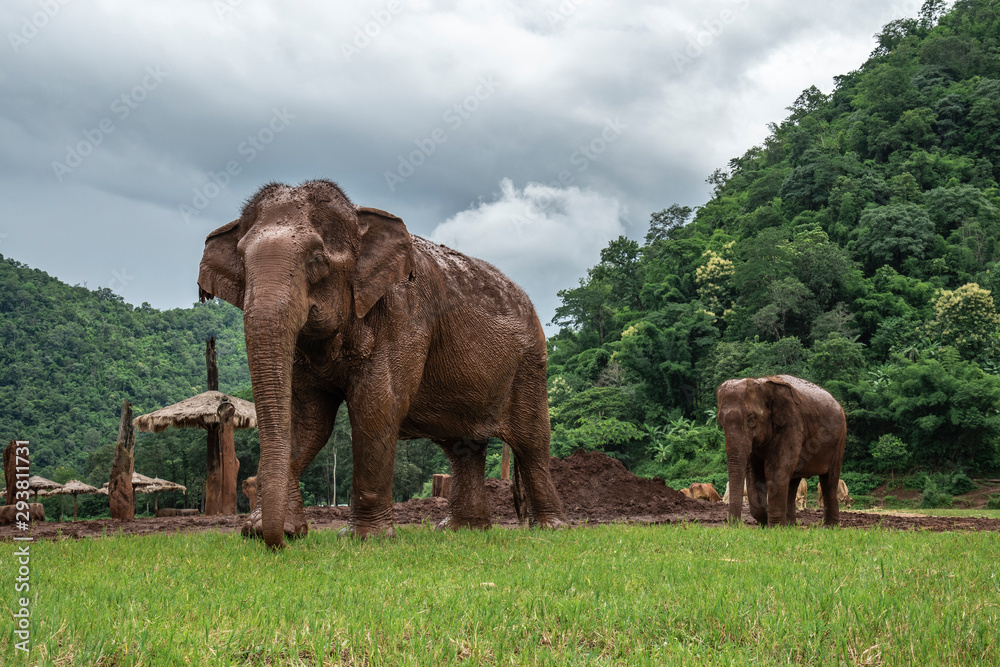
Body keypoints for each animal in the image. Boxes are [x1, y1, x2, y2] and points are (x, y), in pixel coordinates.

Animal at [198, 179, 566, 548]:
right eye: (243, 262)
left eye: (317, 260)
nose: (279, 544)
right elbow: (307, 419)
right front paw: (269, 529)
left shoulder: (403, 316)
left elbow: (375, 406)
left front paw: (363, 538)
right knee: (463, 446)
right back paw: (462, 530)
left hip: (530, 365)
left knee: (532, 442)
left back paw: (550, 528)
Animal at [717, 375, 847, 527]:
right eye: (720, 421)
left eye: (751, 419)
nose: (735, 525)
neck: (764, 384)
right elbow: (754, 472)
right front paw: (768, 521)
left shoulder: (792, 423)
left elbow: (775, 468)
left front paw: (775, 527)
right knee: (793, 480)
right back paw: (790, 525)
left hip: (839, 440)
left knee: (829, 479)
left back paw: (830, 527)